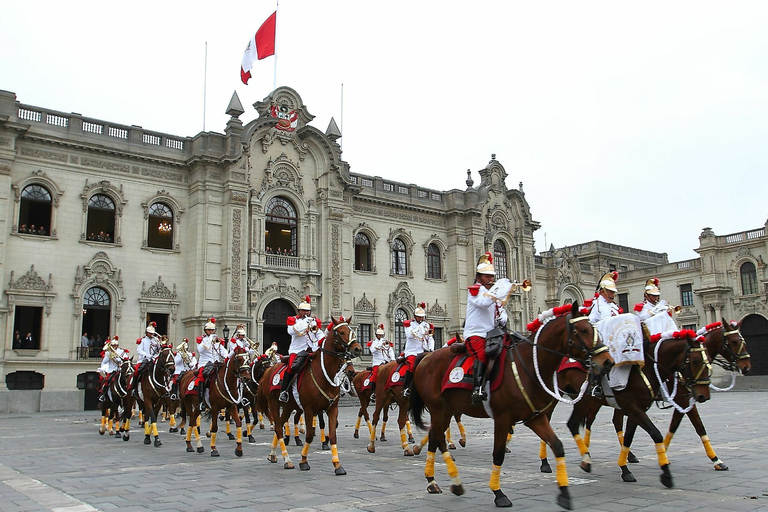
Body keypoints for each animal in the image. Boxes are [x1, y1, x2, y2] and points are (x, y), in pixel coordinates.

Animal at [258, 314, 364, 474]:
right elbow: (308, 435)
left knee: (280, 425)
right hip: (274, 403)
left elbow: (333, 435)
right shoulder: (309, 410)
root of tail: (269, 370)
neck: (324, 374)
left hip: (288, 406)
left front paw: (337, 464)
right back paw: (287, 460)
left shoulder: (332, 409)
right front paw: (303, 461)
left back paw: (273, 454)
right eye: (341, 332)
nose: (357, 349)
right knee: (278, 428)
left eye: (351, 331)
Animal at [408, 302, 612, 510]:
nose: (607, 362)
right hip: (438, 408)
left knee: (435, 436)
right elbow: (498, 455)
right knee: (437, 436)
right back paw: (439, 479)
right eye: (583, 330)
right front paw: (499, 494)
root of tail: (426, 358)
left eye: (594, 329)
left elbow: (558, 446)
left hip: (447, 409)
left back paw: (442, 481)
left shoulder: (535, 418)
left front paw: (564, 493)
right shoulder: (502, 418)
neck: (528, 365)